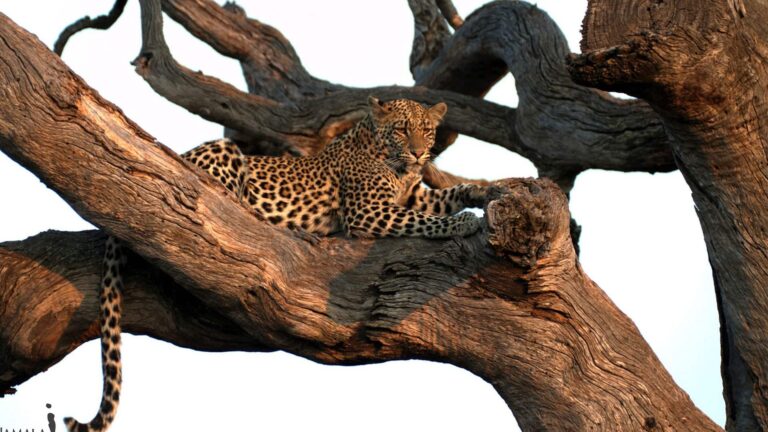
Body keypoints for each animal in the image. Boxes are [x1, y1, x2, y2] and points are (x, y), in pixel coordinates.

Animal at [65, 97, 494, 431]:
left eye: (427, 130)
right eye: (403, 131)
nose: (420, 153)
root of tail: (180, 156)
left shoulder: (414, 197)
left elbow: (447, 195)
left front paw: (485, 190)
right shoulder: (370, 214)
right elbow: (426, 220)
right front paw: (463, 222)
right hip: (226, 151)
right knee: (221, 199)